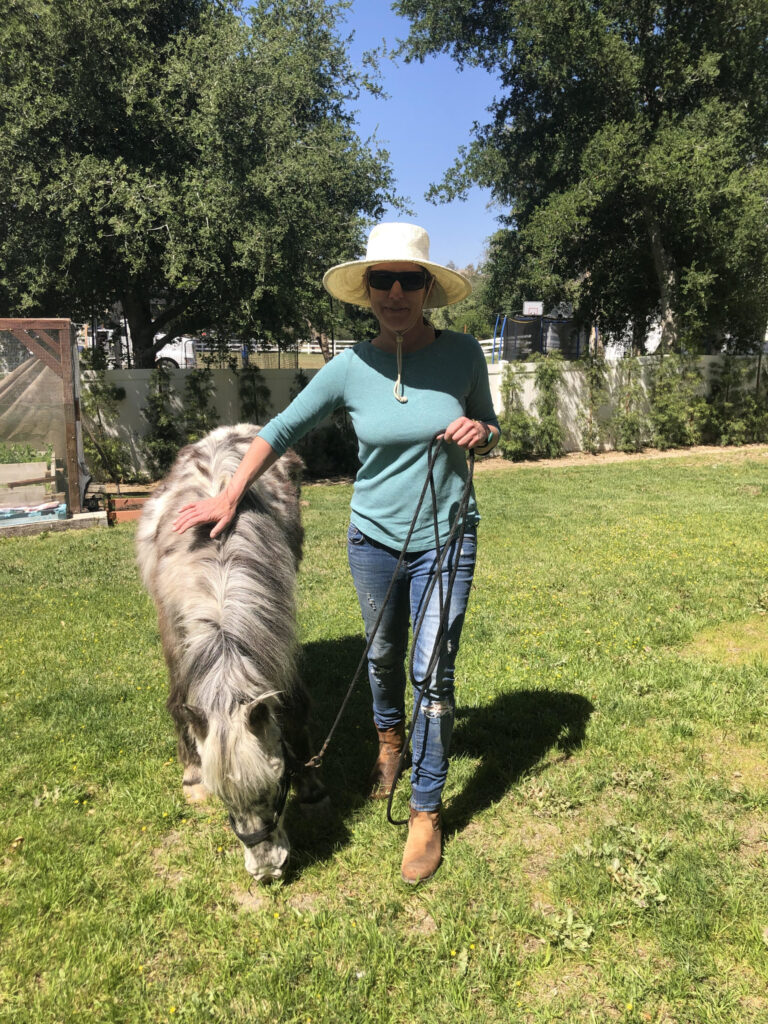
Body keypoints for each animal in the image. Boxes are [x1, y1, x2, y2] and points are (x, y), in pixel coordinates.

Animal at [135, 424, 326, 882]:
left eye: (276, 786)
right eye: (224, 799)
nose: (267, 871)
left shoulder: (278, 639)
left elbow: (295, 705)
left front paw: (312, 783)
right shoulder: (175, 637)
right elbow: (178, 703)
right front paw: (191, 775)